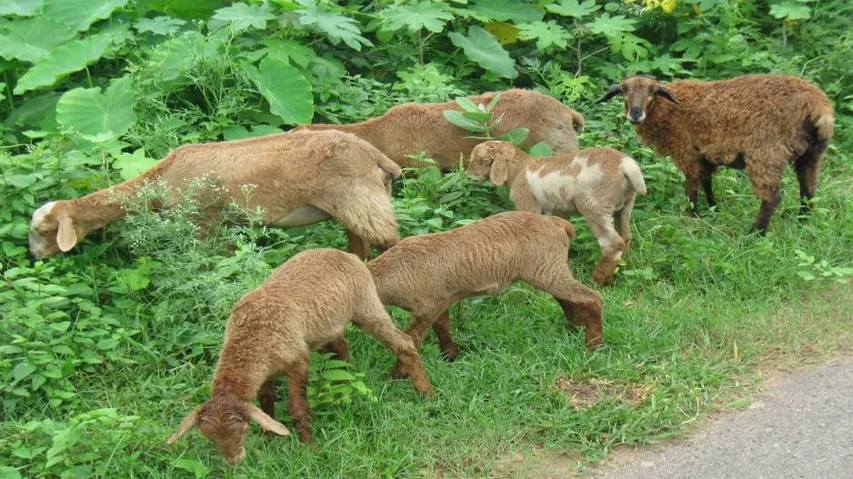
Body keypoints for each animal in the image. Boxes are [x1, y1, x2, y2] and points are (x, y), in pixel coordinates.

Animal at [28, 130, 402, 259]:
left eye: (43, 230)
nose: (35, 256)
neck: (161, 178)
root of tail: (379, 158)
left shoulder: (203, 222)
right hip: (355, 207)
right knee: (360, 250)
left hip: (363, 203)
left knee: (394, 243)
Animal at [166, 248, 432, 465]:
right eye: (209, 438)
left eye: (242, 431)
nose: (234, 462)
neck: (251, 337)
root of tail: (348, 255)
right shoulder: (267, 370)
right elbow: (266, 399)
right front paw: (269, 436)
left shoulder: (298, 363)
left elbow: (298, 408)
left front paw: (309, 448)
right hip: (330, 323)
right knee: (342, 346)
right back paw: (345, 380)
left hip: (367, 306)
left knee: (404, 343)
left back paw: (425, 391)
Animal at [366, 211, 604, 379]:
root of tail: (558, 223)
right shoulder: (441, 300)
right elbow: (442, 327)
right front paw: (451, 355)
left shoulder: (428, 306)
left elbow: (412, 340)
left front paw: (395, 376)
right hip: (549, 269)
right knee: (568, 299)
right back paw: (574, 330)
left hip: (547, 267)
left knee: (592, 298)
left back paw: (594, 344)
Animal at [466, 141, 647, 286]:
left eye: (481, 161)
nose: (467, 177)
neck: (519, 170)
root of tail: (626, 165)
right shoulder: (556, 213)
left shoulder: (528, 206)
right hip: (625, 205)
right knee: (625, 237)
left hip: (593, 205)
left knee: (611, 244)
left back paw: (598, 279)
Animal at [597, 74, 834, 233]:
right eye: (623, 91)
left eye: (653, 92)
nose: (635, 114)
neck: (668, 109)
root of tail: (817, 106)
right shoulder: (705, 154)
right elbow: (706, 181)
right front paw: (713, 208)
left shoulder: (686, 150)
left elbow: (692, 185)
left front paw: (693, 214)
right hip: (812, 154)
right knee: (808, 191)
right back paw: (803, 222)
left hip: (767, 154)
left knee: (772, 198)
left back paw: (755, 233)